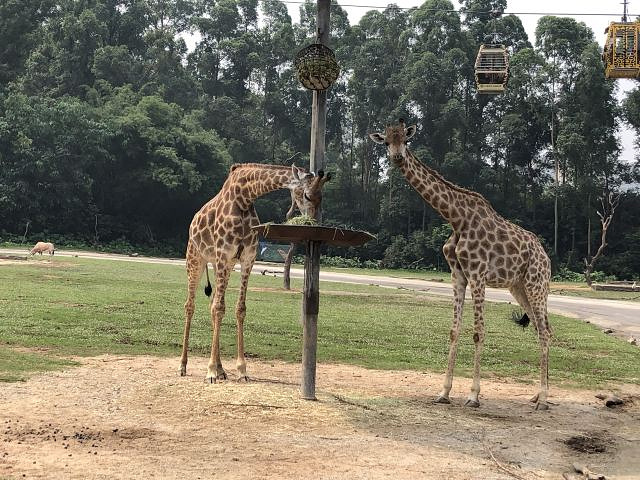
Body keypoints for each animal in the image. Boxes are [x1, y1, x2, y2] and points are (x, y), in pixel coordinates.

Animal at [180, 163, 330, 384]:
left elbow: (238, 309)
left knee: (212, 304)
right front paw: (210, 372)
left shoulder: (247, 260)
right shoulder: (224, 255)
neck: (244, 198)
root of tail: (192, 222)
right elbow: (219, 308)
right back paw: (183, 365)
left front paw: (241, 370)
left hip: (221, 266)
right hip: (196, 259)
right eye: (307, 195)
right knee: (191, 305)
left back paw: (222, 369)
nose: (311, 223)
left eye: (321, 198)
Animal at [368, 120, 552, 408]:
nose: (397, 157)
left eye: (405, 141)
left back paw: (543, 399)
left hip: (537, 284)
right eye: (386, 141)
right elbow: (454, 331)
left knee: (544, 331)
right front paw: (443, 392)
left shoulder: (478, 275)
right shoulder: (458, 276)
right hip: (518, 287)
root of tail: (546, 256)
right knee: (541, 328)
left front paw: (473, 396)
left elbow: (478, 332)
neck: (456, 219)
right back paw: (536, 394)